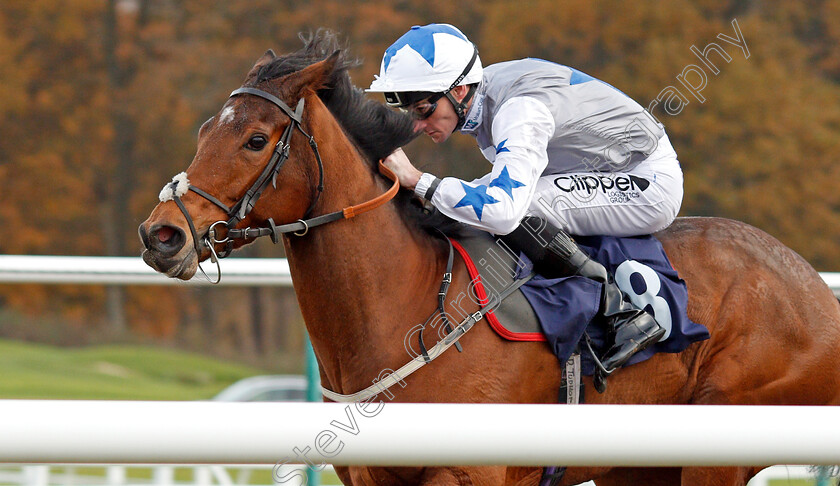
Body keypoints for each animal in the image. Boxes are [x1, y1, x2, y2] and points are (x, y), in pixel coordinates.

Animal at [138, 32, 840, 484]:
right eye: (205, 130)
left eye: (256, 140)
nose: (161, 235)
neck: (409, 301)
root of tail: (816, 291)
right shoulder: (370, 474)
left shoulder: (469, 469)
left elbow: (507, 196)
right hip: (637, 466)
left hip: (715, 447)